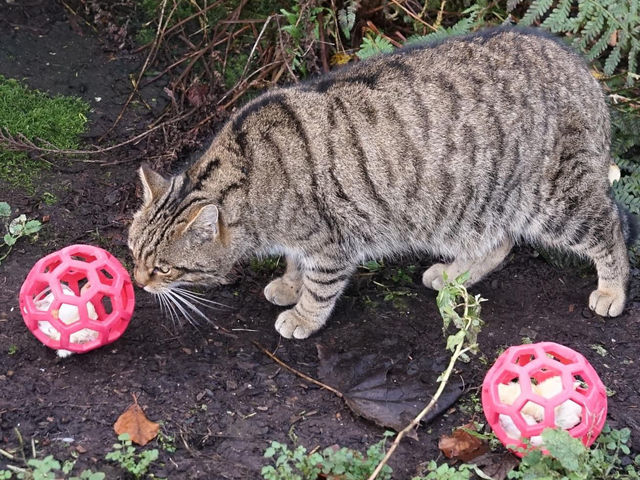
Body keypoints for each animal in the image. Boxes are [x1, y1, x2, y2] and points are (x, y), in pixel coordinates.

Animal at [129, 28, 636, 340]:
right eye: (133, 253)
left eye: (165, 269)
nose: (137, 281)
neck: (250, 179)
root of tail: (585, 72)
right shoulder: (300, 240)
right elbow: (294, 264)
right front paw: (288, 285)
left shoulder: (330, 243)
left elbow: (319, 286)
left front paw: (303, 314)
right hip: (472, 207)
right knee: (501, 241)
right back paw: (453, 273)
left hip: (557, 200)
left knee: (609, 227)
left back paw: (612, 290)